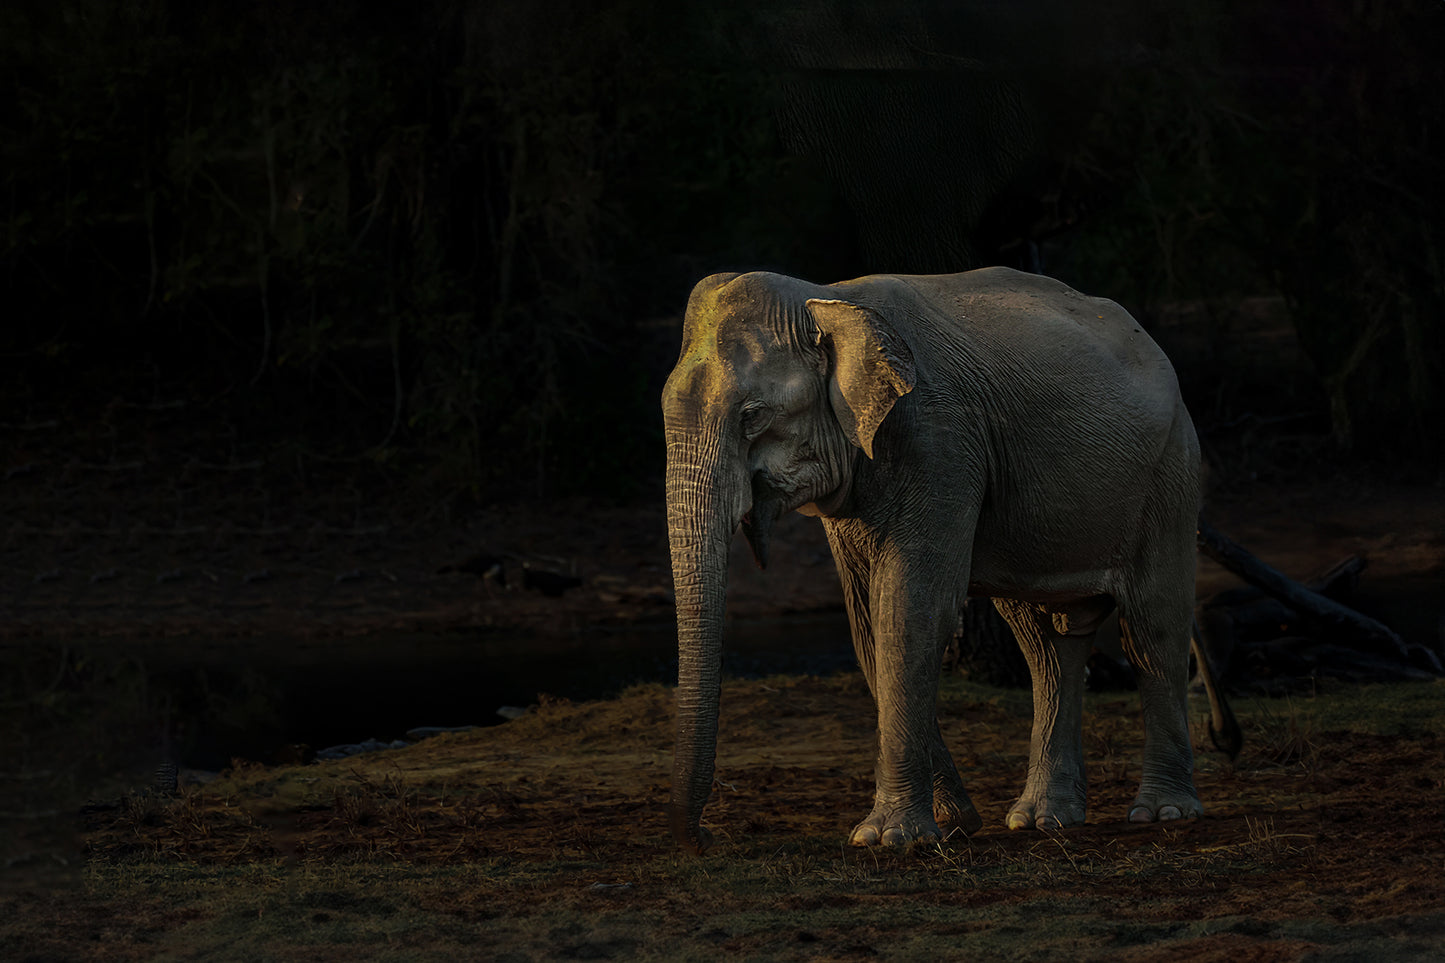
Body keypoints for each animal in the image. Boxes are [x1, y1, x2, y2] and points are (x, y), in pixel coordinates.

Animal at [663, 266, 1226, 854]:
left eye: (752, 416)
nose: (703, 839)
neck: (826, 299)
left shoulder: (937, 439)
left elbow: (911, 608)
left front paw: (890, 838)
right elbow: (868, 625)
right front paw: (953, 823)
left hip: (1171, 471)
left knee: (1151, 627)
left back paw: (1162, 812)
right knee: (1046, 645)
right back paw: (1042, 819)